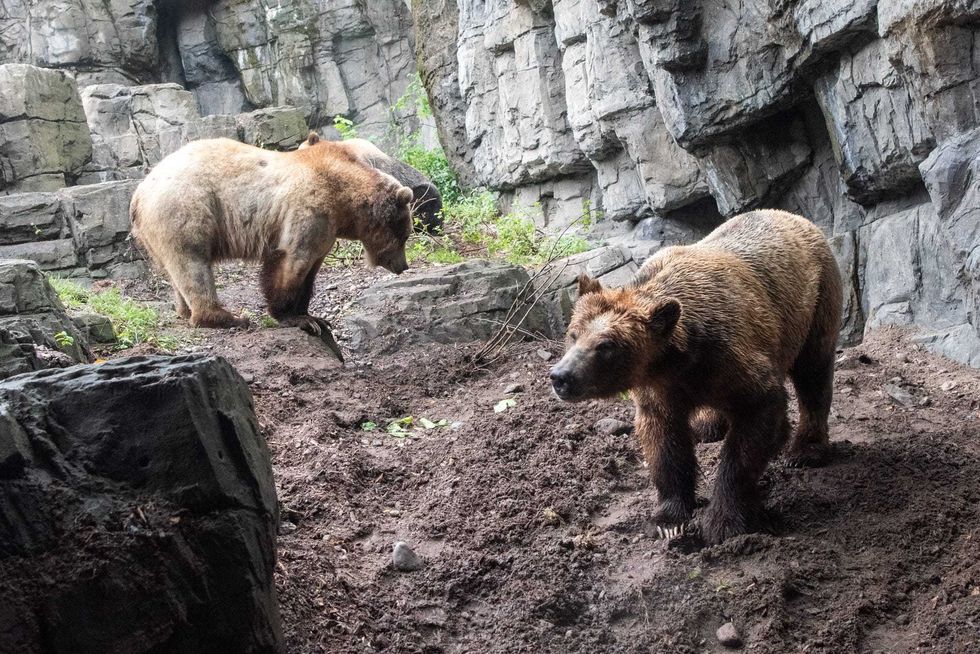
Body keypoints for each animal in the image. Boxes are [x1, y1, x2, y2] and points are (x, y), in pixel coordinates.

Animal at [130, 137, 414, 351]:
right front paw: (296, 318)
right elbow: (291, 262)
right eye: (406, 235)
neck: (344, 200)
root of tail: (138, 193)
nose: (404, 266)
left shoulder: (326, 230)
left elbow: (310, 272)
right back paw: (228, 317)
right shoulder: (309, 211)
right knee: (192, 264)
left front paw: (314, 316)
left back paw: (184, 311)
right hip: (184, 208)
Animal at [548, 209, 843, 545]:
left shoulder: (733, 359)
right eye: (573, 334)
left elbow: (754, 428)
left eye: (605, 346)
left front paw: (724, 521)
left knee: (813, 373)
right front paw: (668, 520)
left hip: (815, 302)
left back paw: (806, 449)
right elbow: (665, 444)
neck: (677, 361)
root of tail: (794, 217)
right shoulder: (659, 389)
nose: (560, 376)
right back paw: (708, 425)